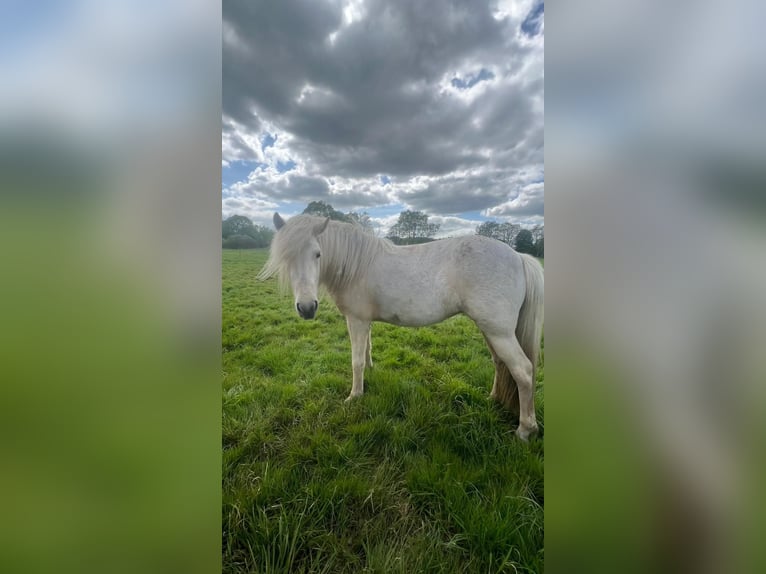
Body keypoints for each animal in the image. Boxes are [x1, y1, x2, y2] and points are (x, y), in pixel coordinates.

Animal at [258, 213, 544, 440]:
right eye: (286, 257)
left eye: (317, 254)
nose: (307, 308)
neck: (355, 265)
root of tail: (518, 256)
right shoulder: (365, 322)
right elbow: (367, 351)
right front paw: (369, 374)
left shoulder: (356, 320)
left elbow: (356, 361)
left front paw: (354, 396)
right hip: (491, 330)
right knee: (500, 364)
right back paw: (493, 399)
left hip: (499, 333)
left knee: (523, 370)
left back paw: (525, 430)